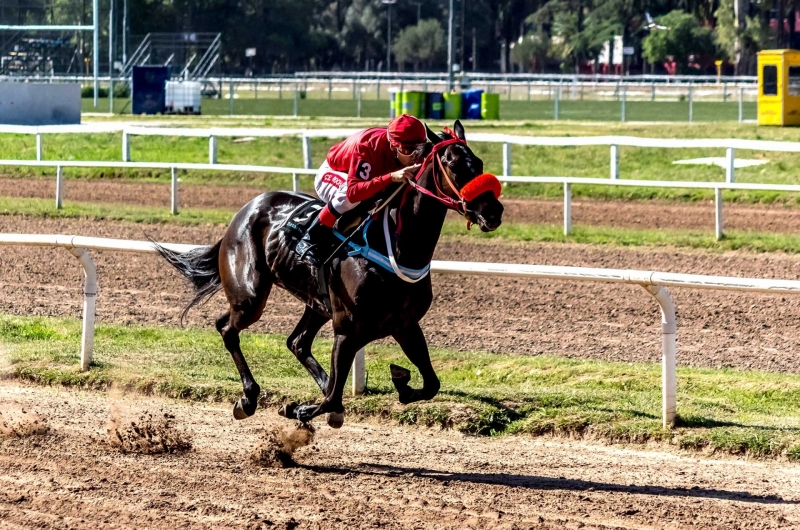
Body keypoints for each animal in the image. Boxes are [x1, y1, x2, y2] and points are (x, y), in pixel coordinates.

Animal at [155, 119, 504, 424]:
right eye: (455, 165)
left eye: (479, 162)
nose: (493, 211)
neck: (397, 245)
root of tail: (247, 209)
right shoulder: (348, 329)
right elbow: (333, 398)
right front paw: (297, 408)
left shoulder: (404, 324)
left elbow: (430, 384)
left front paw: (401, 383)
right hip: (251, 296)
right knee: (228, 328)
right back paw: (249, 397)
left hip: (316, 303)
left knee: (296, 342)